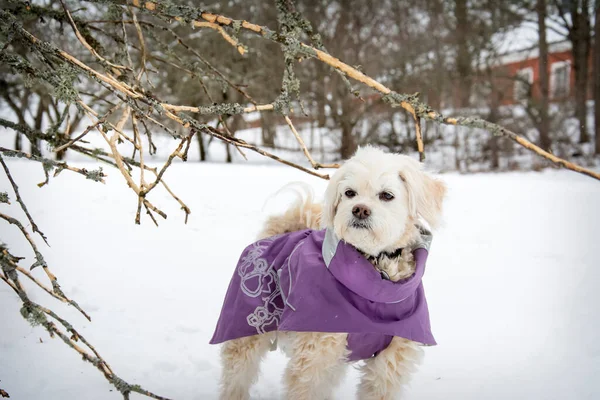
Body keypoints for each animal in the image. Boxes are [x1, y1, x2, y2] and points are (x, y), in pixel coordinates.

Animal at [212, 147, 446, 400]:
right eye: (349, 193)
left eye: (386, 195)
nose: (359, 210)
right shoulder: (315, 355)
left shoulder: (390, 363)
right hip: (245, 332)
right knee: (236, 377)